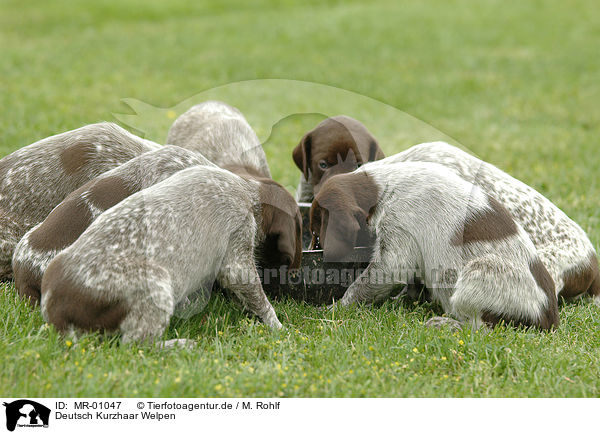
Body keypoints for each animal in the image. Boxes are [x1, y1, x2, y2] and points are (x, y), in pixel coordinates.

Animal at [39, 165, 298, 342]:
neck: (247, 191)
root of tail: (55, 303)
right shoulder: (237, 250)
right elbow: (255, 294)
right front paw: (277, 326)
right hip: (157, 284)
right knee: (136, 344)